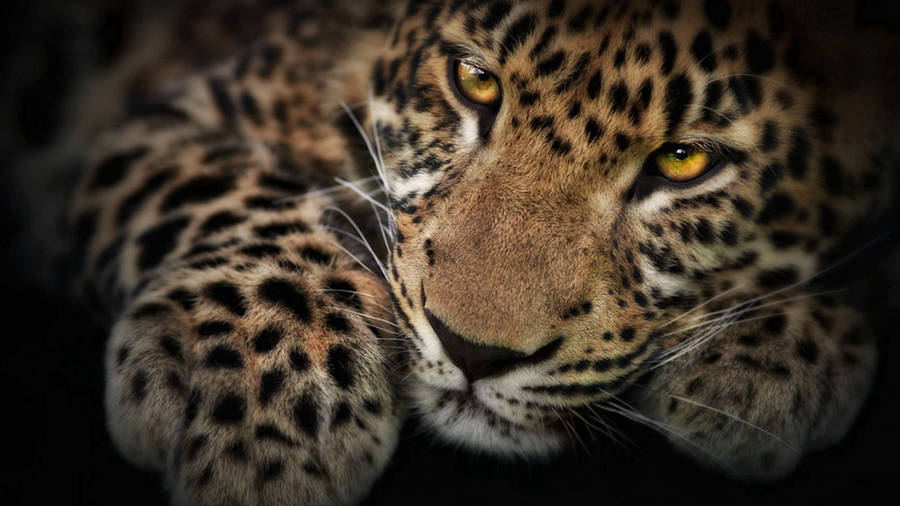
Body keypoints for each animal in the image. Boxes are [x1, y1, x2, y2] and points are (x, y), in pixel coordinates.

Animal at [5, 0, 899, 504]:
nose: (474, 353)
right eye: (473, 81)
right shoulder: (150, 127)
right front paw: (264, 408)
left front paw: (770, 357)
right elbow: (224, 186)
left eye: (684, 160)